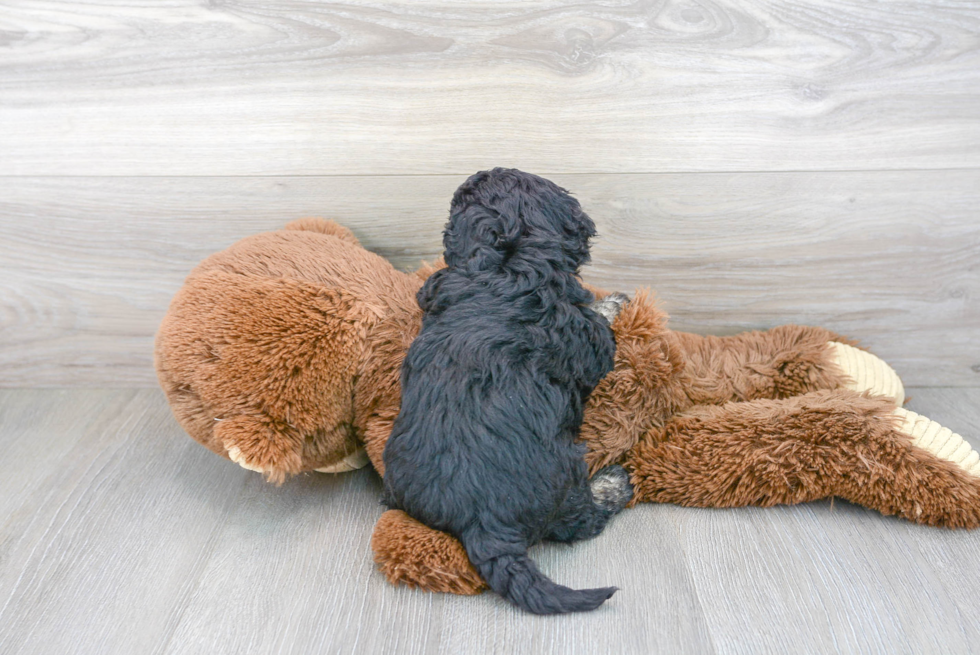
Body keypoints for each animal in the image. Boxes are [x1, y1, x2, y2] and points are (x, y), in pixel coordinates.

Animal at [378, 169, 632, 616]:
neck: (504, 263)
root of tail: (481, 524)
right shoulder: (589, 341)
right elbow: (600, 327)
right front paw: (614, 301)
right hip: (566, 474)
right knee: (581, 520)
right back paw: (613, 484)